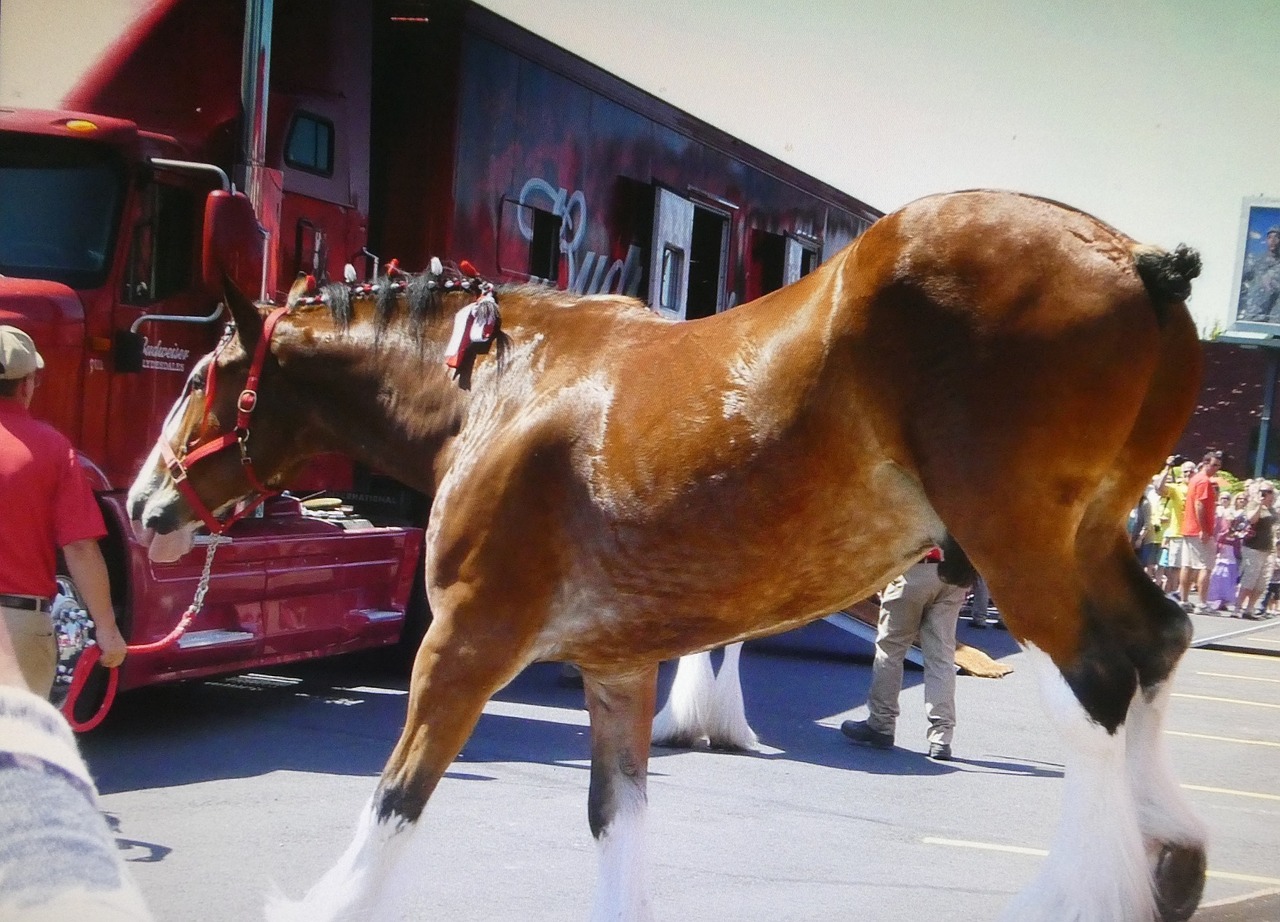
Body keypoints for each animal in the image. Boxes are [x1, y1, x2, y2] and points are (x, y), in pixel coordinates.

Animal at [127, 190, 1207, 922]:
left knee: (1096, 686)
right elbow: (618, 816)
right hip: (1088, 533)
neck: (499, 389)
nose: (142, 504)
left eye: (199, 373)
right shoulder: (616, 668)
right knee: (1157, 643)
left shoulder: (465, 641)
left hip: (1016, 543)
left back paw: (1090, 889)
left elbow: (399, 794)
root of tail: (1133, 259)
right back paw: (1173, 859)